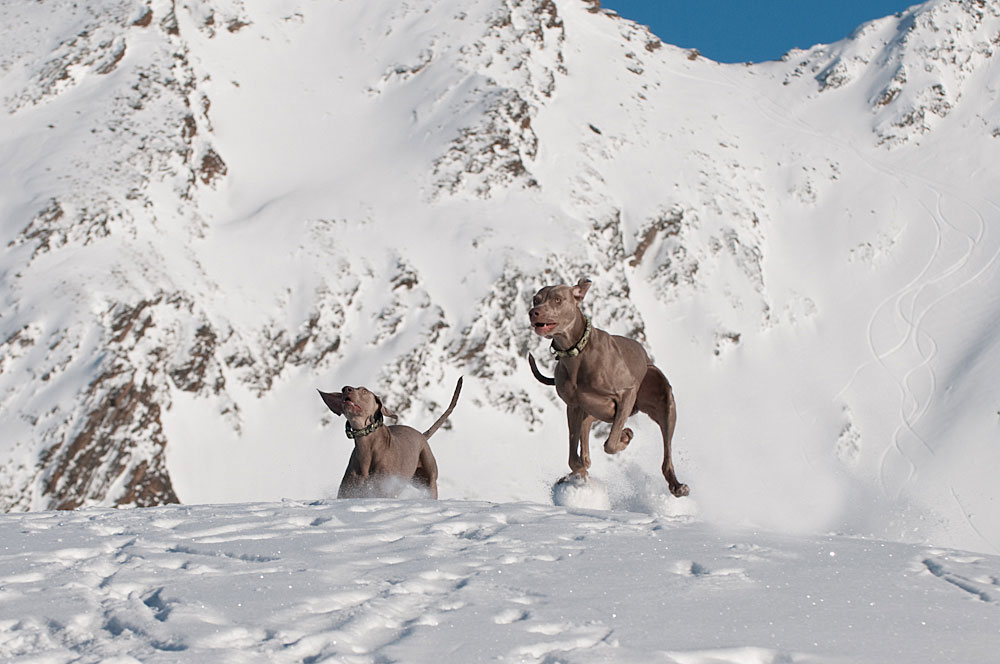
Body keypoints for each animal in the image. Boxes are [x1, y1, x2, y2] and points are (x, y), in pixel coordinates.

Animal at [528, 278, 684, 496]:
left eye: (557, 299)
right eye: (536, 300)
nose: (534, 312)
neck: (577, 353)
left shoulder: (627, 393)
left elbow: (610, 444)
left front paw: (625, 437)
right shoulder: (573, 407)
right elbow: (574, 457)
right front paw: (578, 473)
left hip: (661, 398)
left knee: (666, 450)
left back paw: (676, 485)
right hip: (592, 411)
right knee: (585, 435)